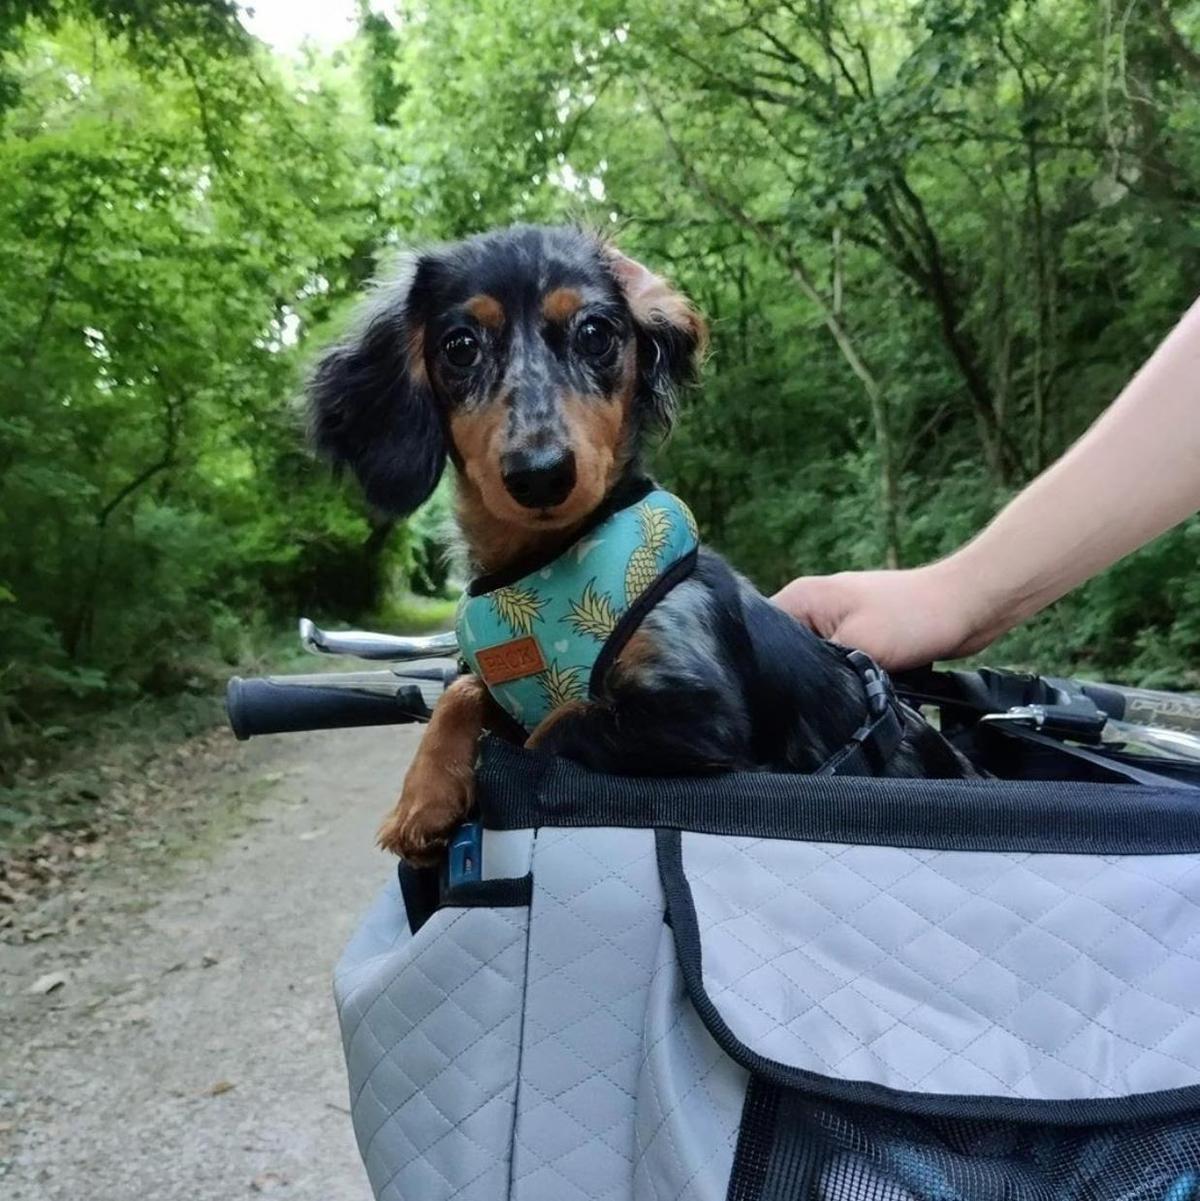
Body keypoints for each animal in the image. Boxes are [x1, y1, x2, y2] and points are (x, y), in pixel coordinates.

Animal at [309, 225, 975, 864]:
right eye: (459, 346)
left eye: (596, 333)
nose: (540, 474)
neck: (545, 560)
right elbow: (464, 691)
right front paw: (423, 797)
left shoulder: (696, 717)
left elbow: (552, 729)